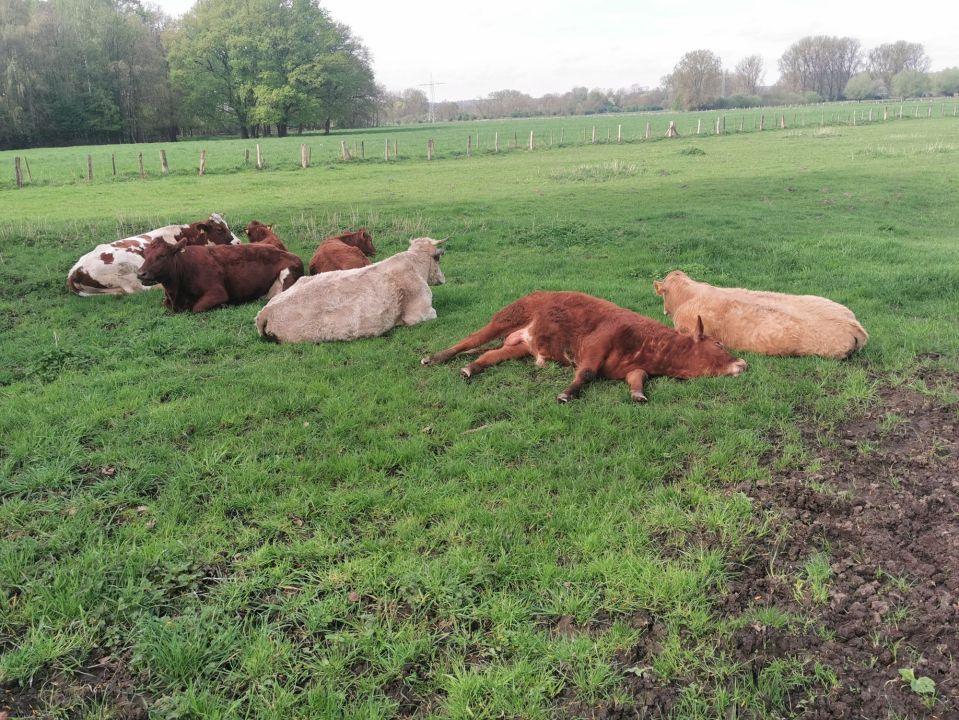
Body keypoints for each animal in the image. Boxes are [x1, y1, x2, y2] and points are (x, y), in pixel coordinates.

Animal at [420, 291, 748, 403]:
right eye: (718, 343)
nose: (743, 363)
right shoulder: (595, 344)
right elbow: (587, 373)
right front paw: (567, 393)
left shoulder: (634, 367)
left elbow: (637, 378)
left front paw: (638, 394)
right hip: (503, 319)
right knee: (469, 341)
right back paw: (436, 358)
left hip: (520, 346)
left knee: (490, 355)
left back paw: (470, 368)